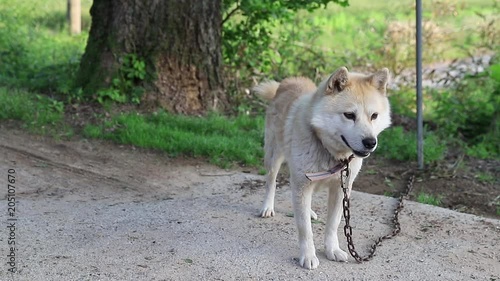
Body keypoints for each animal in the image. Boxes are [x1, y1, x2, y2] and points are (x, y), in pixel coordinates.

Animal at [254, 66, 390, 268]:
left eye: (374, 116)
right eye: (349, 115)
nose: (370, 142)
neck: (329, 150)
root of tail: (286, 83)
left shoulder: (341, 189)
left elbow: (333, 224)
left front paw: (332, 250)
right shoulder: (302, 184)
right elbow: (305, 229)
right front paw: (308, 256)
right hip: (274, 156)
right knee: (271, 182)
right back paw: (267, 207)